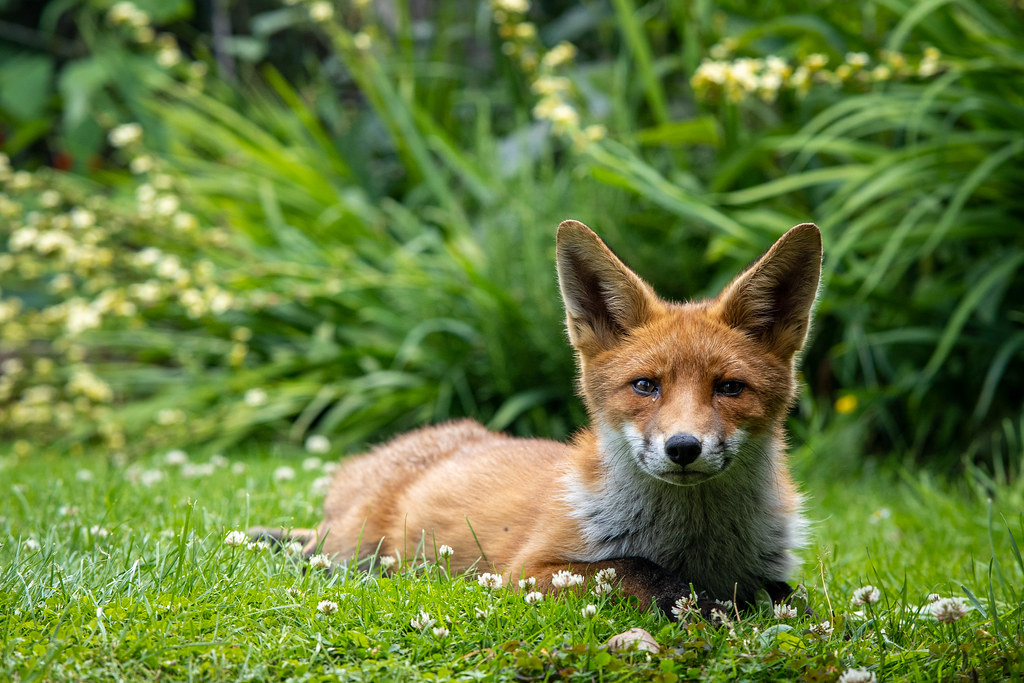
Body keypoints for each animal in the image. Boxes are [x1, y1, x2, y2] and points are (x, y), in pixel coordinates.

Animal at [253, 220, 823, 618]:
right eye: (646, 386)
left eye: (729, 388)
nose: (683, 447)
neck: (693, 546)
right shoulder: (525, 572)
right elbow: (636, 567)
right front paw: (703, 607)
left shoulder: (768, 572)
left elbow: (791, 596)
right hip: (355, 551)